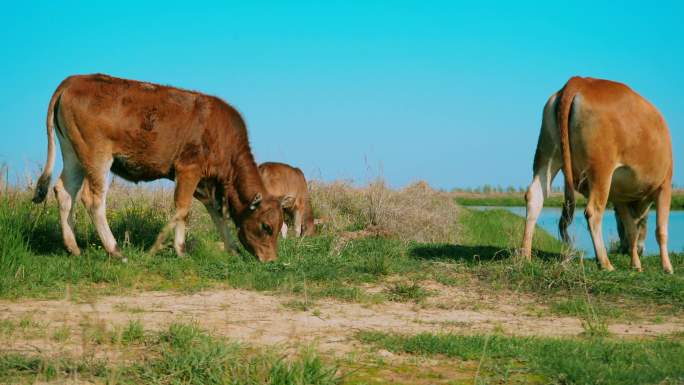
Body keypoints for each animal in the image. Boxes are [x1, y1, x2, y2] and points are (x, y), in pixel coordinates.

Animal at [32, 73, 286, 260]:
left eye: (279, 225)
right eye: (266, 226)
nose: (271, 259)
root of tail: (74, 79)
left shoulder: (205, 183)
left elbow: (214, 213)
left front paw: (232, 249)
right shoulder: (189, 169)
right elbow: (183, 209)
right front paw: (174, 249)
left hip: (73, 154)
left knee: (65, 192)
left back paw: (73, 247)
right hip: (96, 156)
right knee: (93, 199)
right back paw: (115, 251)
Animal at [524, 76, 672, 272]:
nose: (627, 250)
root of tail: (580, 81)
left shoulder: (619, 197)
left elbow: (631, 230)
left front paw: (636, 265)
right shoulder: (665, 184)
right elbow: (660, 230)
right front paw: (667, 267)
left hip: (548, 153)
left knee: (535, 196)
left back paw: (524, 256)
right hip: (601, 169)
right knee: (593, 212)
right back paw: (605, 262)